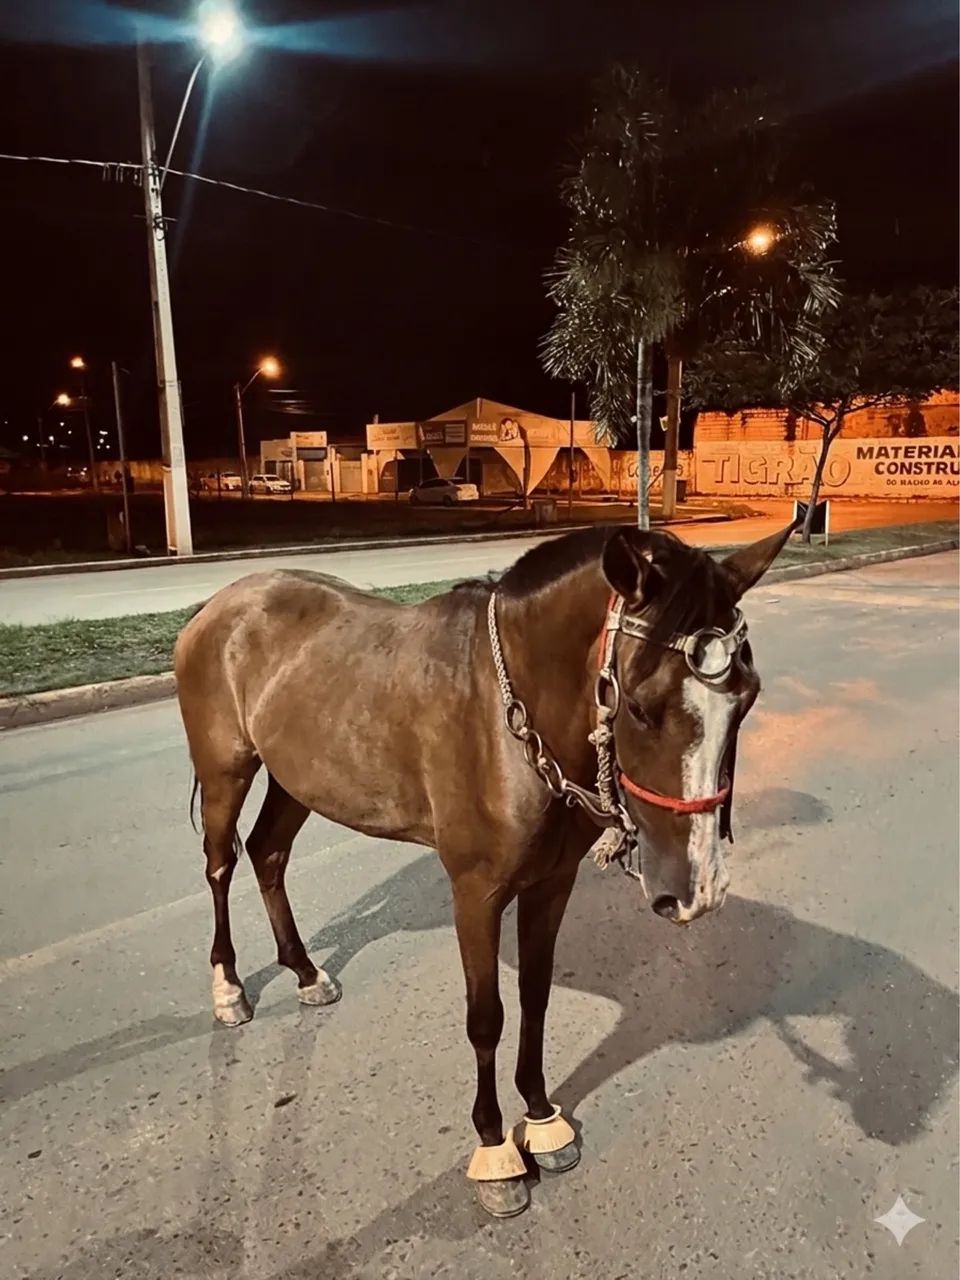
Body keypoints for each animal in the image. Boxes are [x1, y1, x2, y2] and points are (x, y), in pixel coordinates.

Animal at [174, 522, 794, 1217]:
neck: (506, 722)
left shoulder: (551, 884)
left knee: (269, 853)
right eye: (638, 706)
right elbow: (486, 1016)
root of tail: (220, 605)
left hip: (296, 776)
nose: (697, 889)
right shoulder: (475, 892)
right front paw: (496, 1147)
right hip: (226, 768)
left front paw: (543, 1119)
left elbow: (535, 997)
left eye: (746, 700)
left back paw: (305, 972)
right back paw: (229, 987)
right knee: (221, 865)